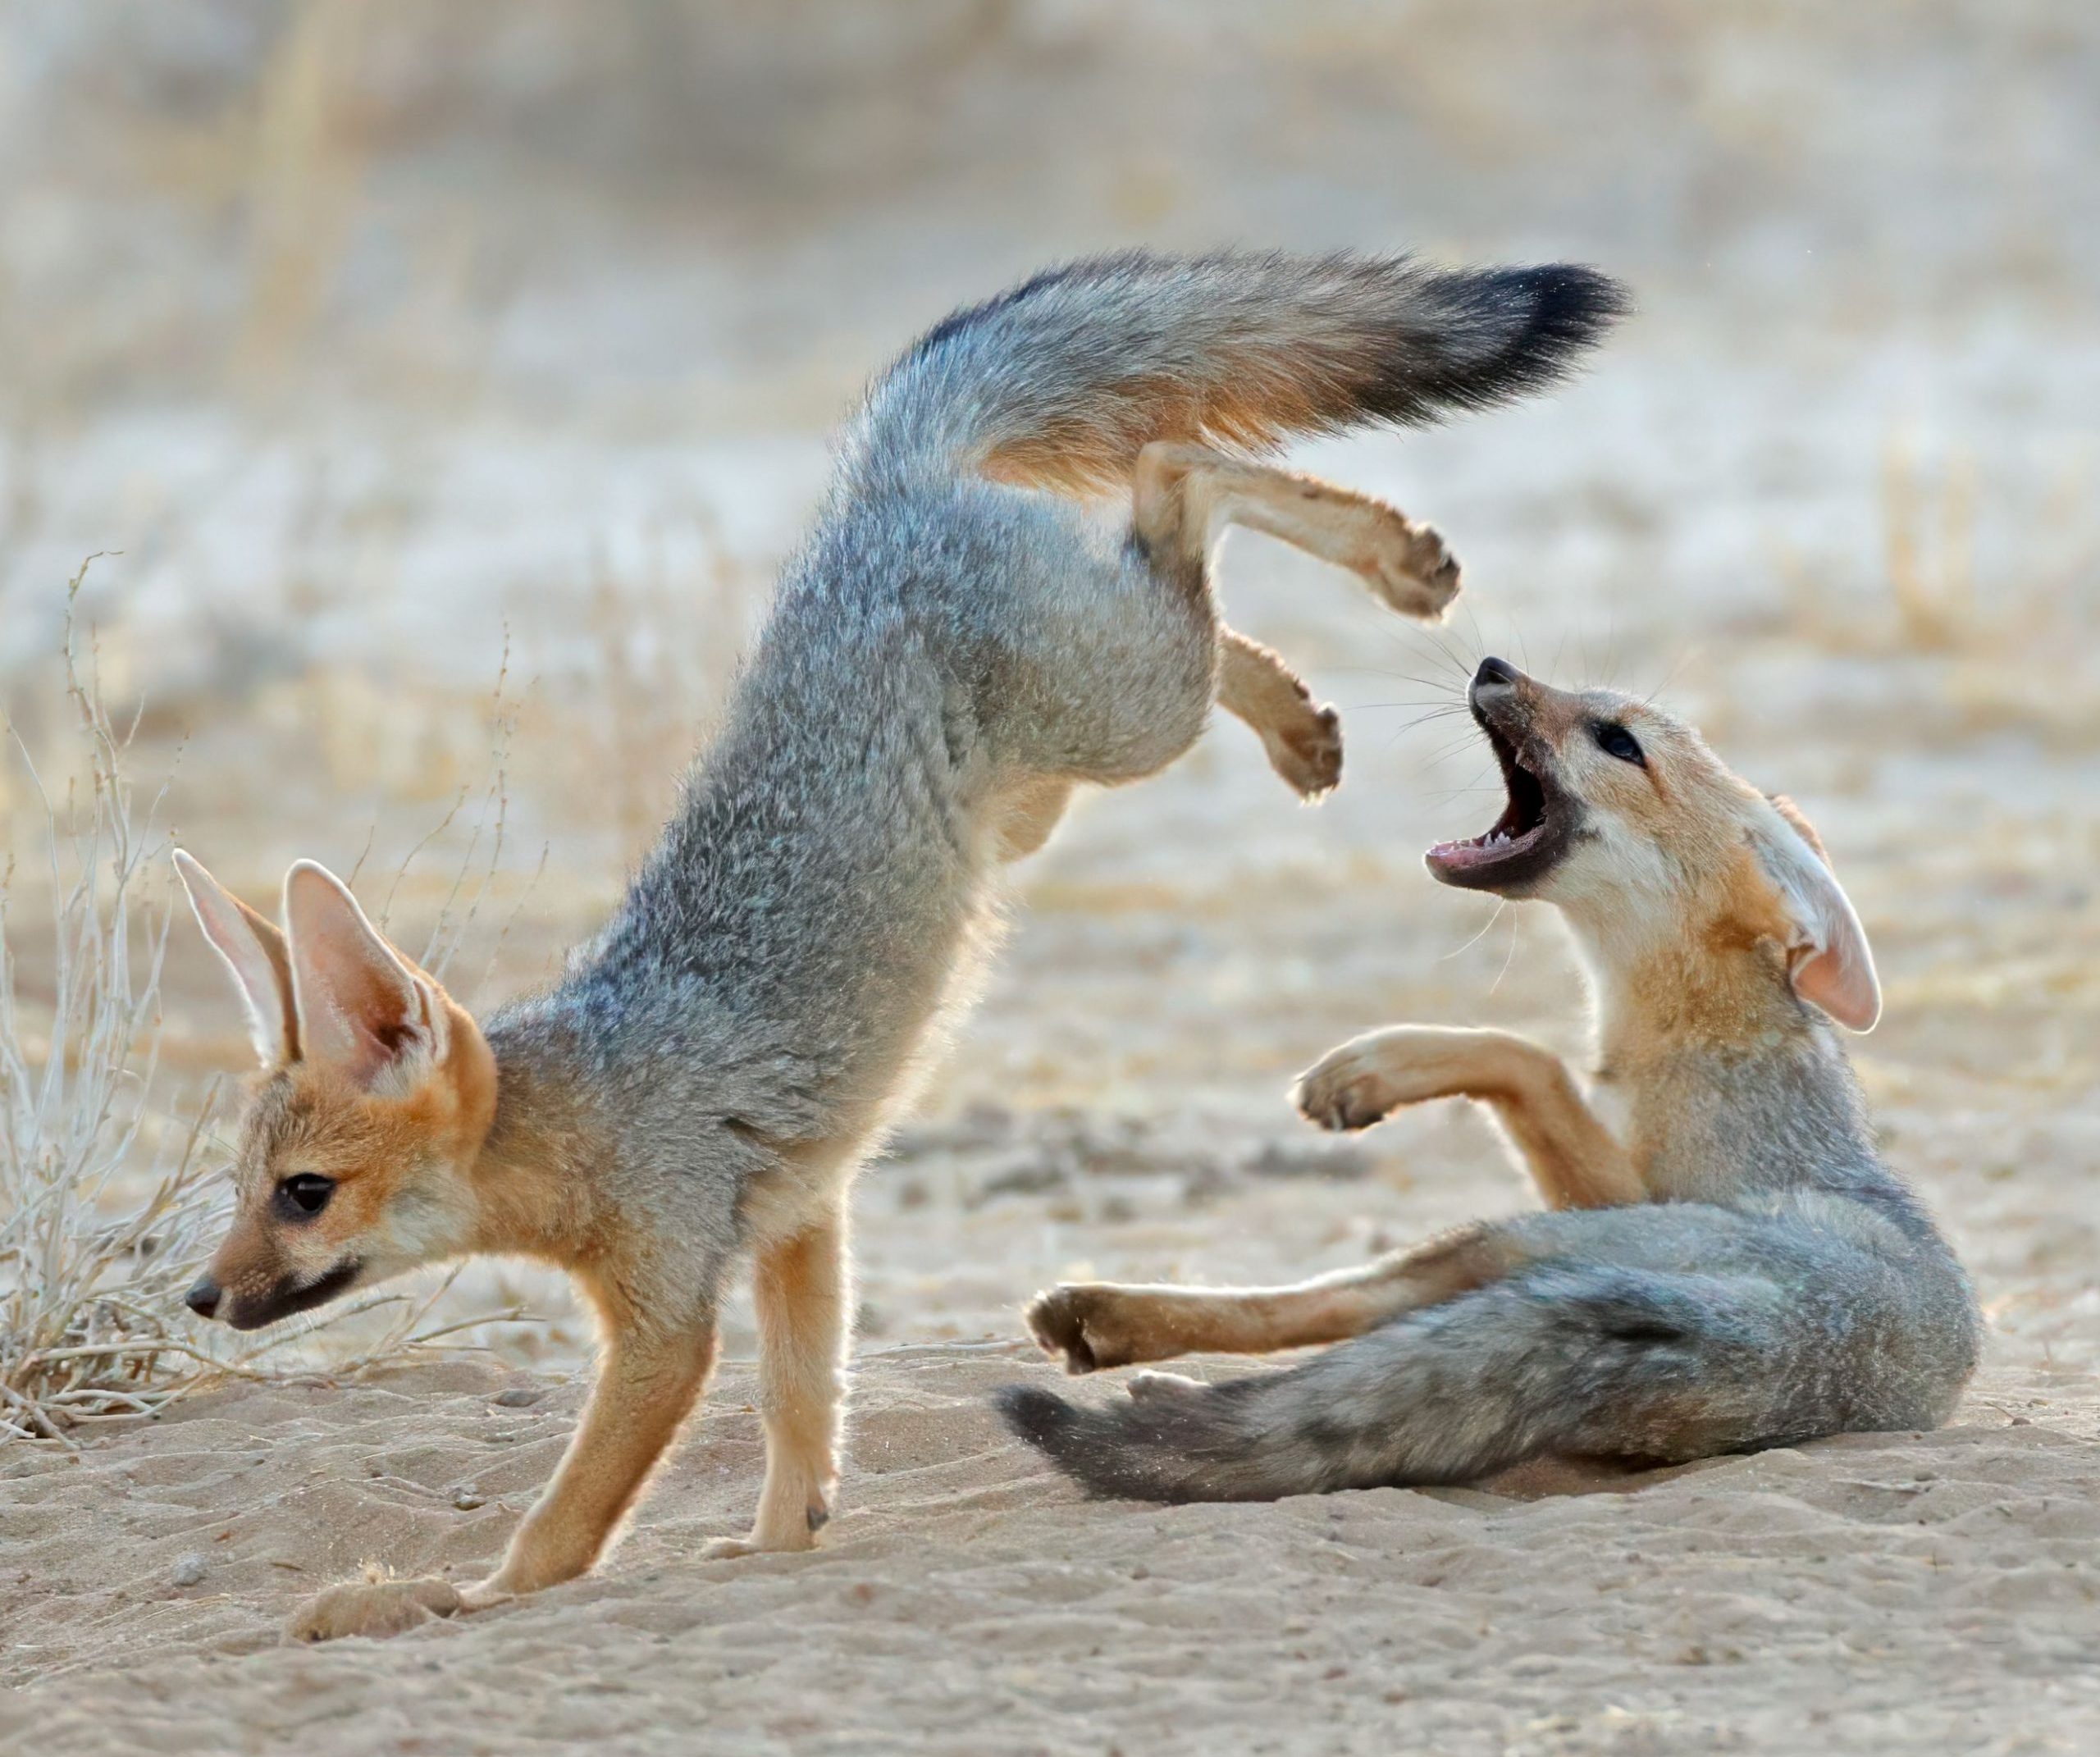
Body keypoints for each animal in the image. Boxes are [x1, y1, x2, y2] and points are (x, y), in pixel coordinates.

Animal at [169, 250, 1627, 1639]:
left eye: (303, 1194)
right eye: (241, 1191)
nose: (197, 1295)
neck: (594, 1100)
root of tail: (867, 498)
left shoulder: (667, 1316)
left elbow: (572, 1516)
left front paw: (473, 1596)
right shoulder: (802, 1222)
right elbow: (802, 1406)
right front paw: (777, 1539)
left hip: (1125, 716)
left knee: (1177, 478)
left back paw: (1393, 562)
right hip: (1060, 780)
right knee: (1184, 548)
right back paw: (1304, 711)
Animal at [1000, 656, 1983, 1502]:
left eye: (1618, 740)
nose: (1493, 665)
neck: (1695, 1032)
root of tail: (1778, 1342)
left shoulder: (1631, 1184)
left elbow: (1525, 1056)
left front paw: (1374, 1068)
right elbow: (1533, 1066)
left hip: (1522, 1239)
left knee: (1347, 1305)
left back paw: (1114, 1329)